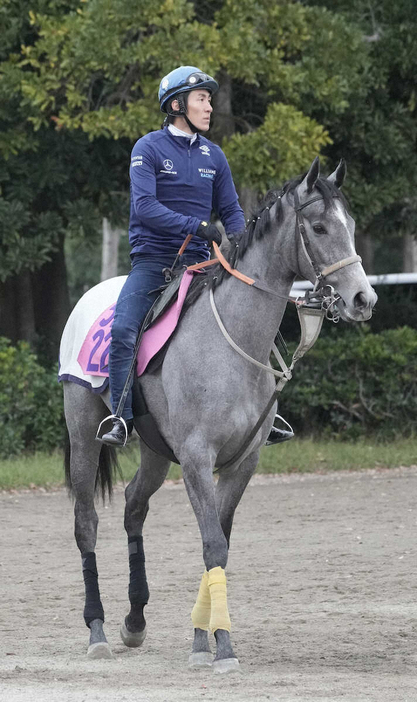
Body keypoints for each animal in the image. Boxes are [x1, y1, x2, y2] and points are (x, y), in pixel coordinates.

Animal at [61, 160, 376, 676]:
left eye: (349, 225)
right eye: (319, 227)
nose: (363, 300)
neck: (233, 341)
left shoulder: (242, 462)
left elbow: (219, 544)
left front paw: (201, 640)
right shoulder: (195, 458)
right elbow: (212, 544)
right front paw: (222, 646)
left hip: (154, 450)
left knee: (133, 505)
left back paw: (134, 621)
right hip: (84, 431)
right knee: (86, 522)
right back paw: (97, 631)